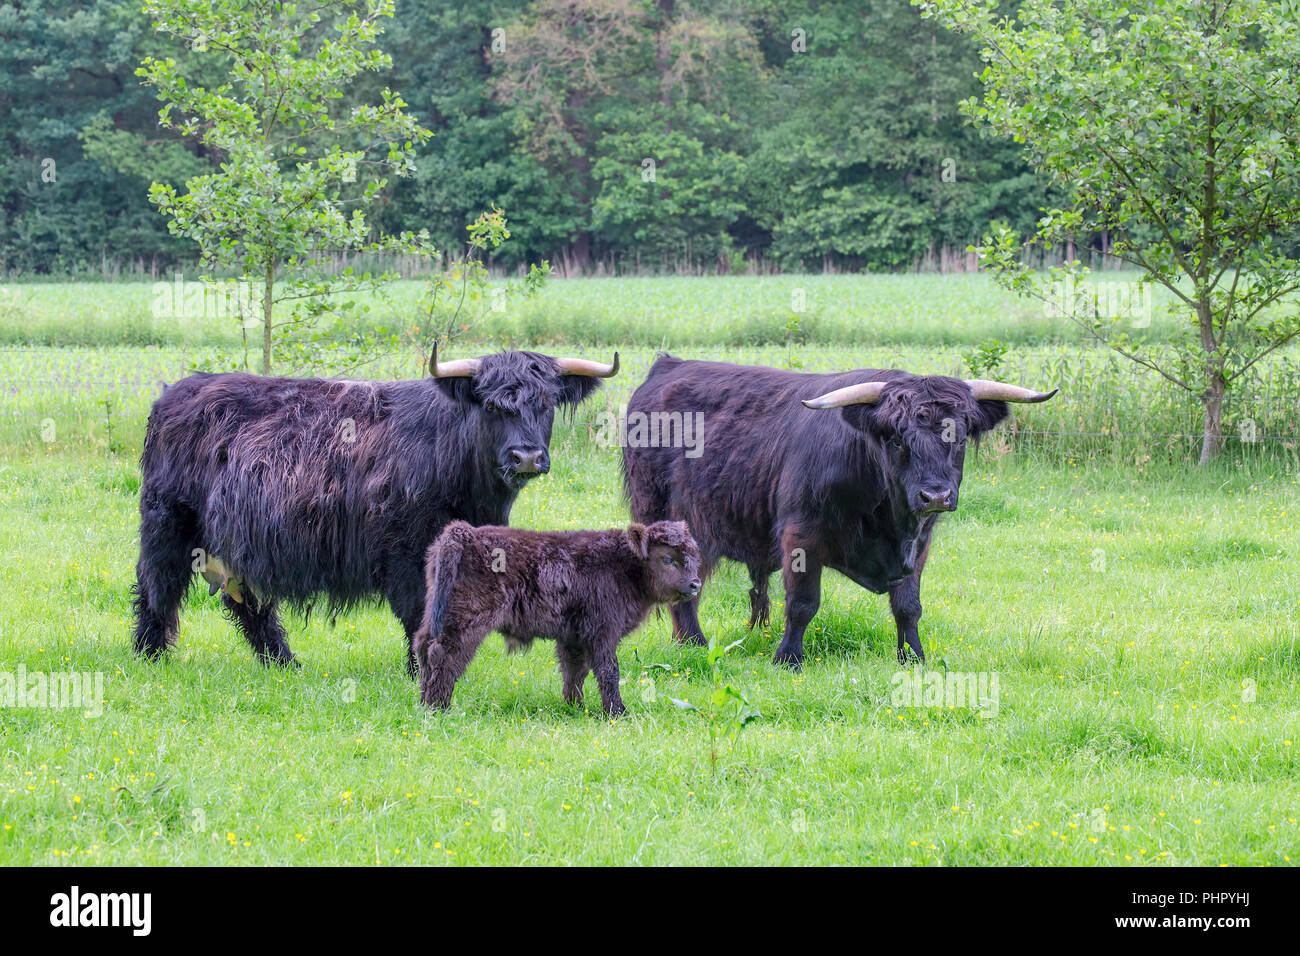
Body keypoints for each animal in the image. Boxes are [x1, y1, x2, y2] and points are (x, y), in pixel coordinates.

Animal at [131, 345, 618, 671]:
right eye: (493, 405)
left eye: (546, 404)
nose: (527, 457)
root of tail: (176, 390)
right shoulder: (403, 549)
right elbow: (419, 609)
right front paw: (420, 669)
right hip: (167, 521)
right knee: (157, 583)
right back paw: (150, 655)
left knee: (245, 601)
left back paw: (284, 662)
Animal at [413, 520, 702, 712]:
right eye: (667, 558)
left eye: (691, 555)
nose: (695, 584)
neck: (623, 565)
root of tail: (464, 533)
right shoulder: (602, 634)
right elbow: (608, 671)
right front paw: (617, 712)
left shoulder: (574, 637)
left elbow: (575, 671)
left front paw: (575, 707)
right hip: (466, 622)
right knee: (444, 656)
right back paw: (440, 708)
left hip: (436, 614)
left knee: (423, 646)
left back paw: (423, 703)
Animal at [618, 356, 1055, 671]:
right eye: (896, 440)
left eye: (959, 437)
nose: (935, 495)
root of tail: (669, 365)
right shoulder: (801, 535)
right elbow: (802, 602)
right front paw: (788, 660)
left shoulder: (919, 542)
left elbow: (908, 606)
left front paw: (913, 658)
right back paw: (694, 643)